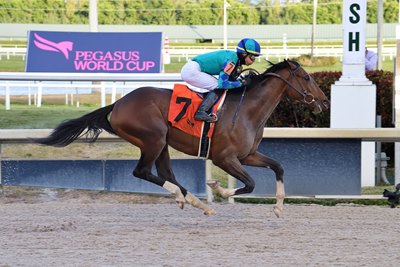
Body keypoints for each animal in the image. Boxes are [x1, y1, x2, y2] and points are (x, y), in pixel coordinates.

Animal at [33, 59, 328, 218]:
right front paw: (217, 188)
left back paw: (195, 202)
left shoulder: (247, 155)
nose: (324, 102)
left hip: (161, 143)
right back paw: (184, 197)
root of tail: (118, 104)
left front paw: (278, 208)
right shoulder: (224, 158)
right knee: (142, 172)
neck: (247, 110)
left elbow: (278, 167)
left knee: (165, 173)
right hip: (152, 139)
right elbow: (251, 184)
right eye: (305, 77)